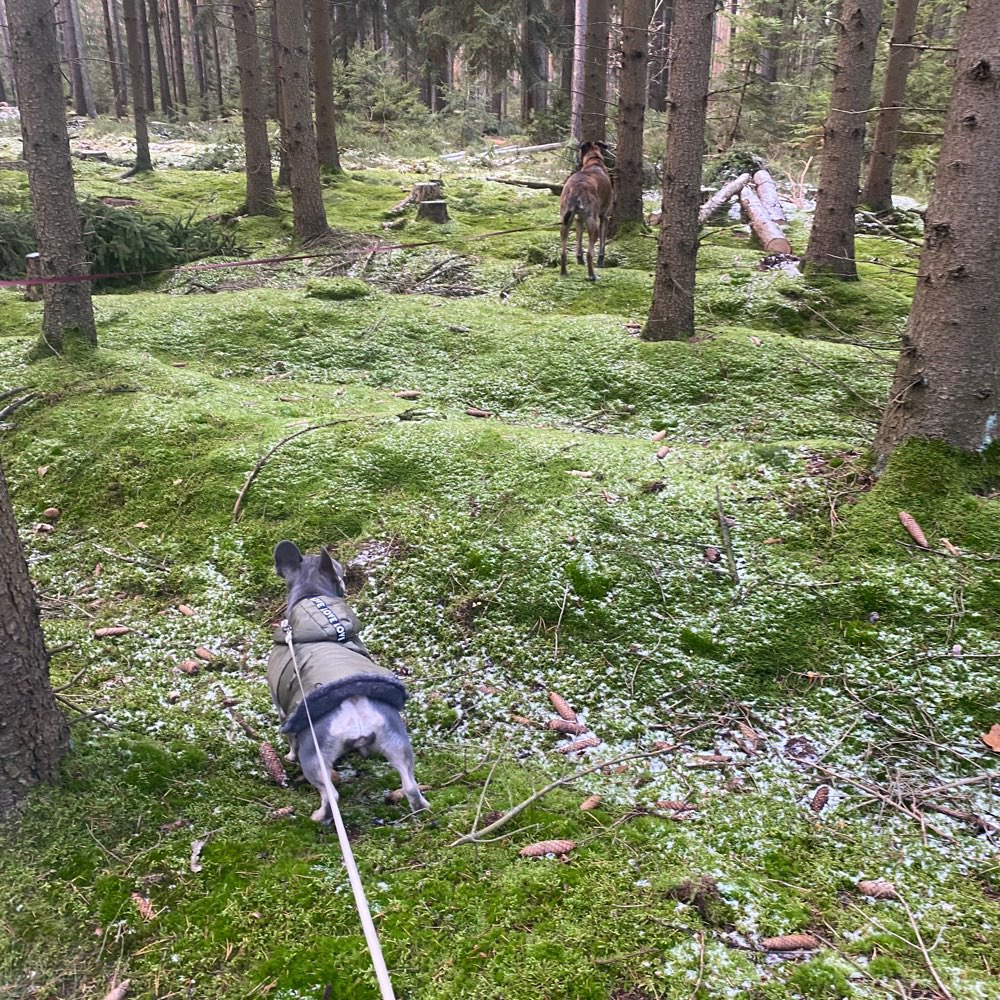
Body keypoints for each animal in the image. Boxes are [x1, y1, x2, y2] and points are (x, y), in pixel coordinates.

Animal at [560, 141, 612, 282]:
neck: (594, 161)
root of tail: (576, 188)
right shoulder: (603, 217)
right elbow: (602, 243)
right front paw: (601, 262)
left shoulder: (578, 219)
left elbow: (578, 240)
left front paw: (579, 259)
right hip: (593, 222)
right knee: (590, 252)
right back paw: (592, 275)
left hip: (565, 221)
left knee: (563, 251)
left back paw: (563, 272)